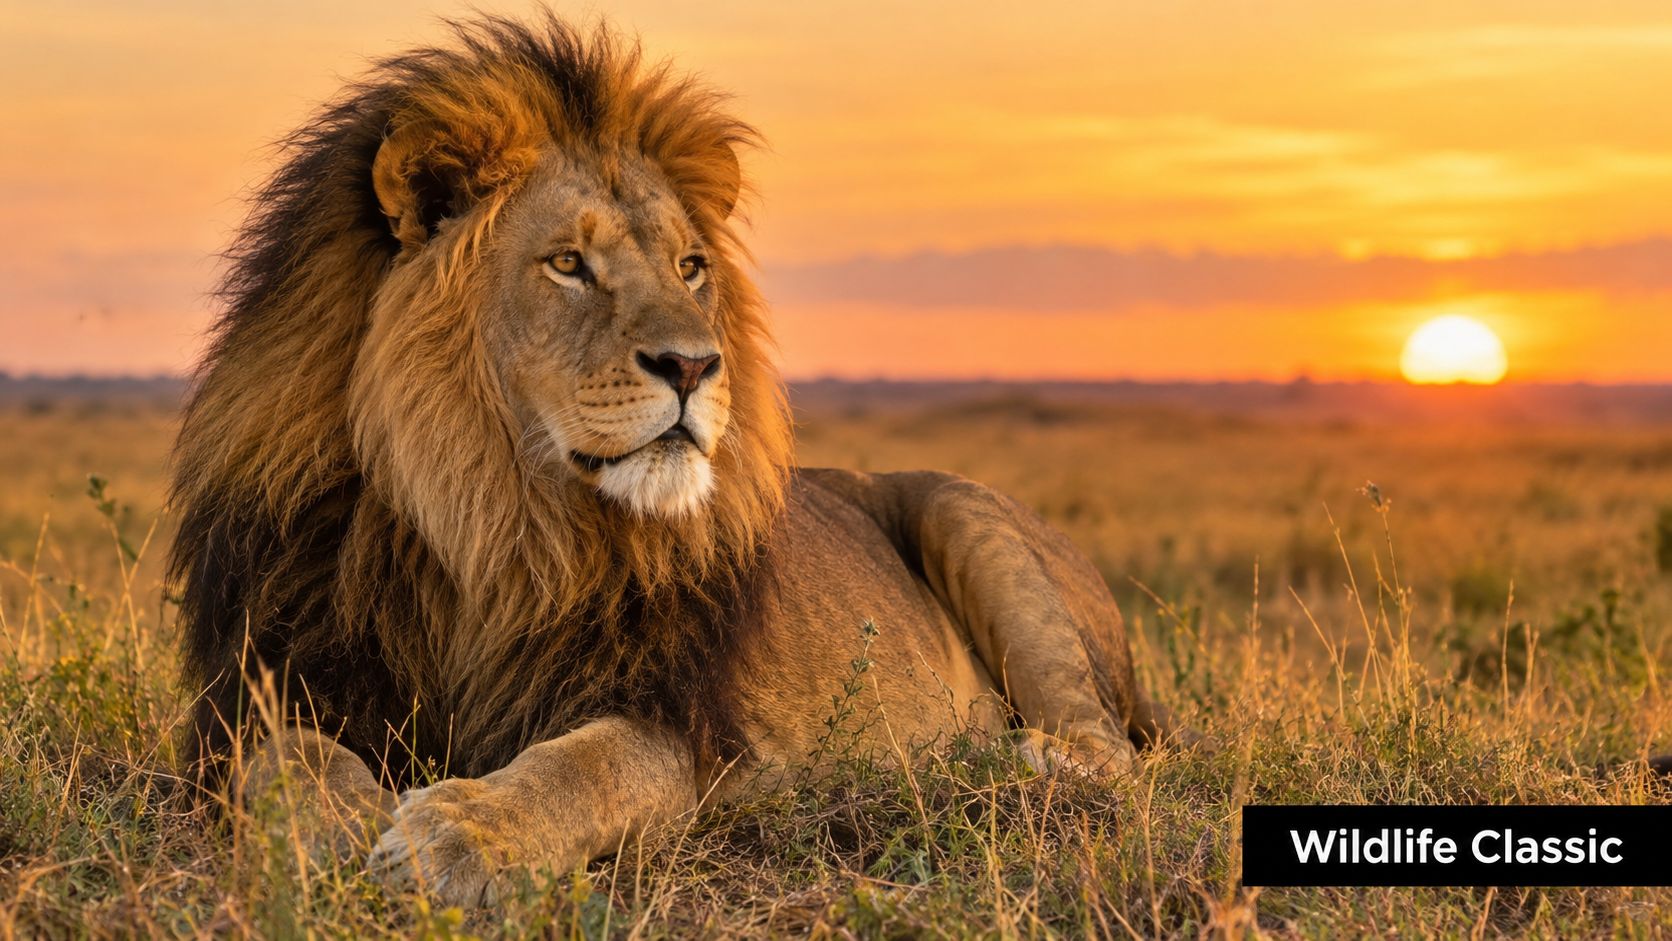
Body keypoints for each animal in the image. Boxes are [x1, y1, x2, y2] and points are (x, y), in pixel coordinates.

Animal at [170, 13, 1190, 905]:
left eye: (691, 267)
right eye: (568, 264)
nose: (697, 365)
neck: (490, 521)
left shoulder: (680, 718)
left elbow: (581, 766)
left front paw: (461, 832)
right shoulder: (258, 682)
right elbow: (289, 757)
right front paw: (354, 829)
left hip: (968, 515)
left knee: (1113, 754)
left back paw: (1001, 760)